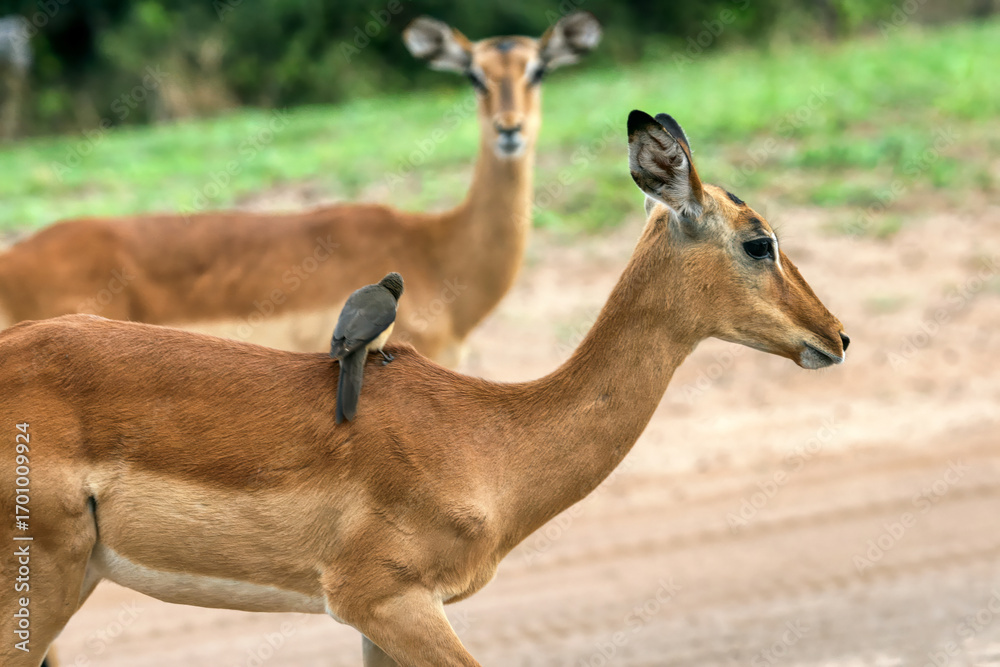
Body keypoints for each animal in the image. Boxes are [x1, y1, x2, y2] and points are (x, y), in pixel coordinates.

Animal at [0, 110, 849, 667]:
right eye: (760, 240)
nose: (837, 335)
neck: (491, 437)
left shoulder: (379, 619)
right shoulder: (387, 600)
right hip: (42, 584)